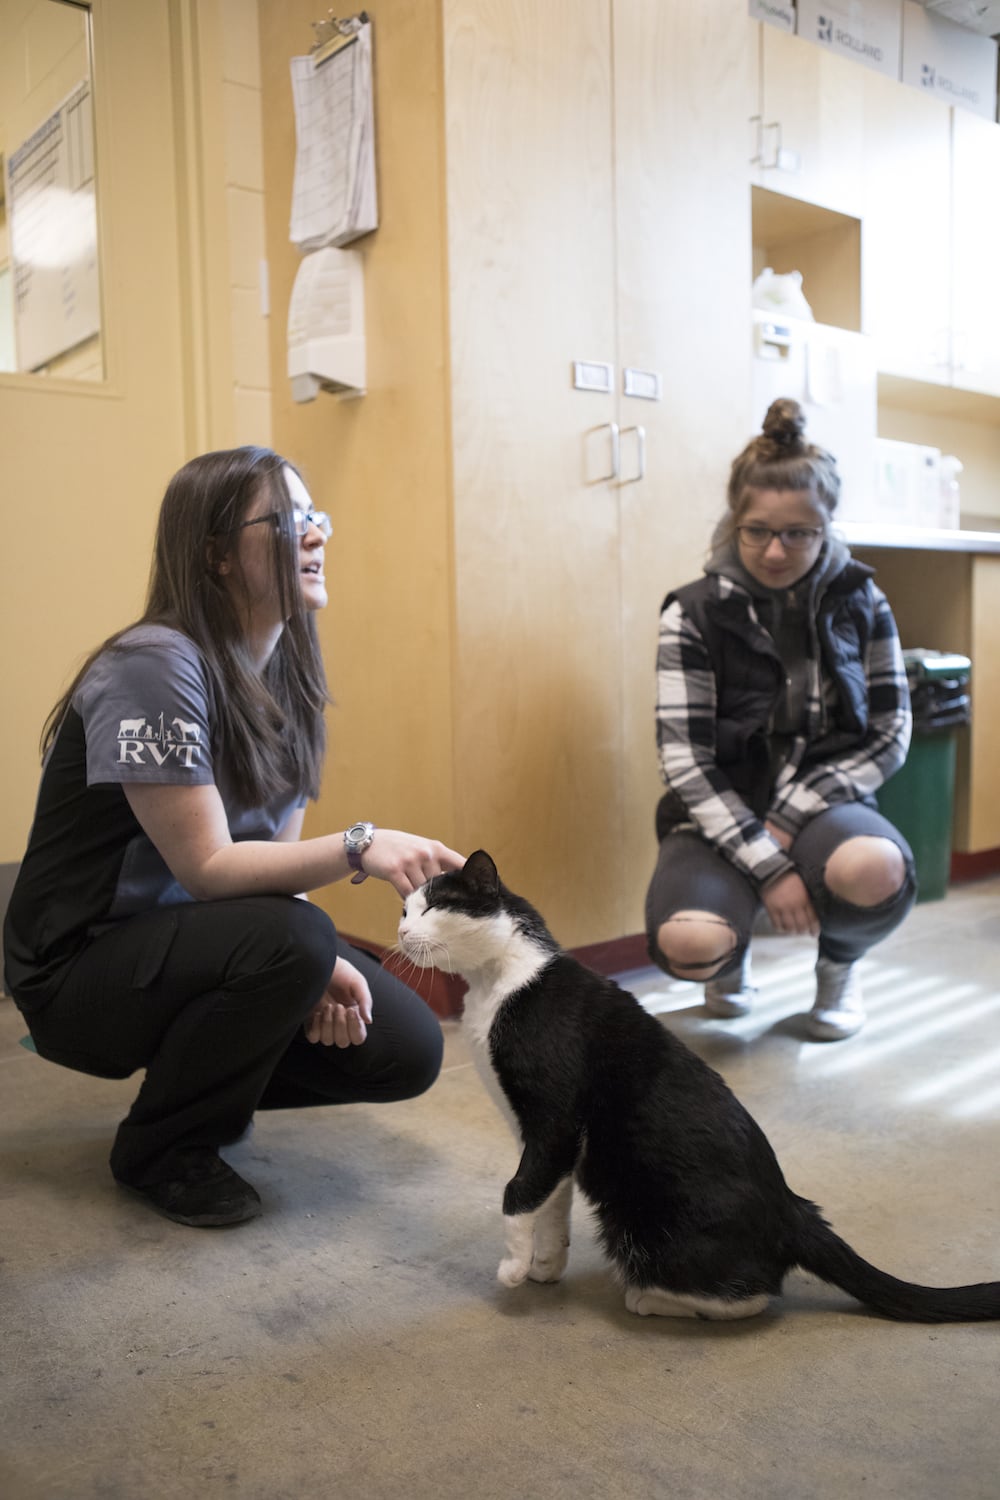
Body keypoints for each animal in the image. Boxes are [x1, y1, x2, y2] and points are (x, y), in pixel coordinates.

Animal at [398, 858, 1000, 1326]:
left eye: (432, 909)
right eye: (405, 910)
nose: (400, 933)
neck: (498, 983)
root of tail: (792, 1209)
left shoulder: (553, 1121)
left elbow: (519, 1191)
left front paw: (513, 1269)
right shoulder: (551, 1143)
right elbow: (550, 1201)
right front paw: (545, 1265)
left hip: (641, 1218)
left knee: (755, 1295)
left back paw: (651, 1300)